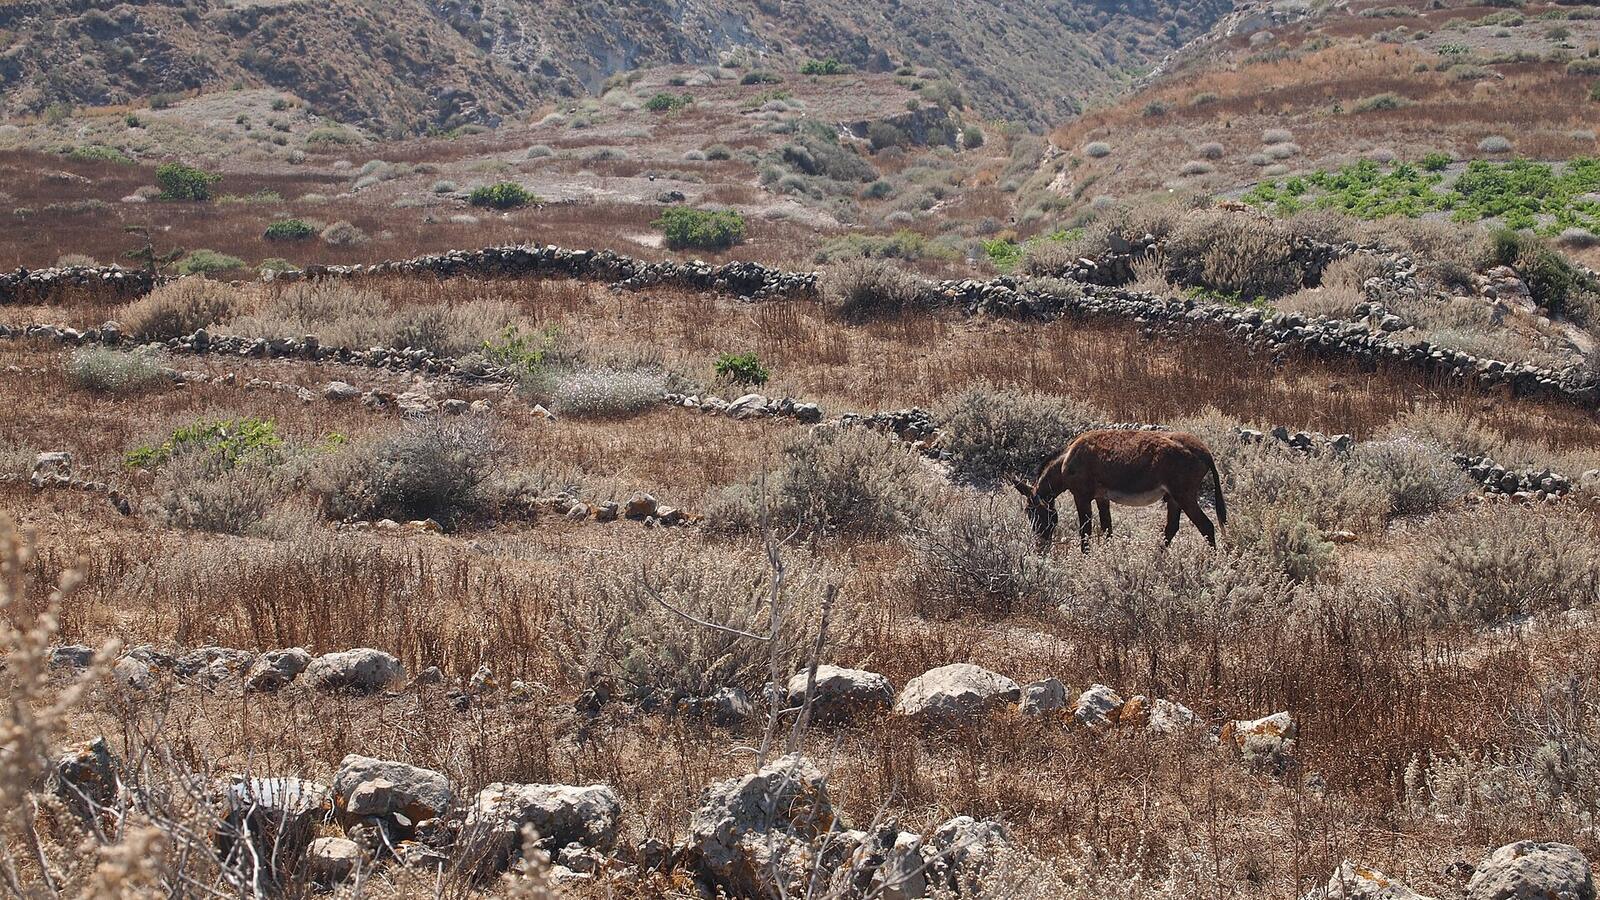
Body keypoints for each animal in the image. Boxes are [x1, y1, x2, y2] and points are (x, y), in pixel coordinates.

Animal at [1013, 429, 1227, 551]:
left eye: (1030, 512)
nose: (1040, 547)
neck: (1067, 460)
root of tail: (1205, 452)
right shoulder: (1102, 497)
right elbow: (1107, 528)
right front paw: (1109, 557)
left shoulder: (1081, 497)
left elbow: (1085, 531)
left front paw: (1085, 559)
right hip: (1174, 498)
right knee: (1172, 528)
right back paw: (1156, 559)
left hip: (1184, 495)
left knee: (1207, 527)